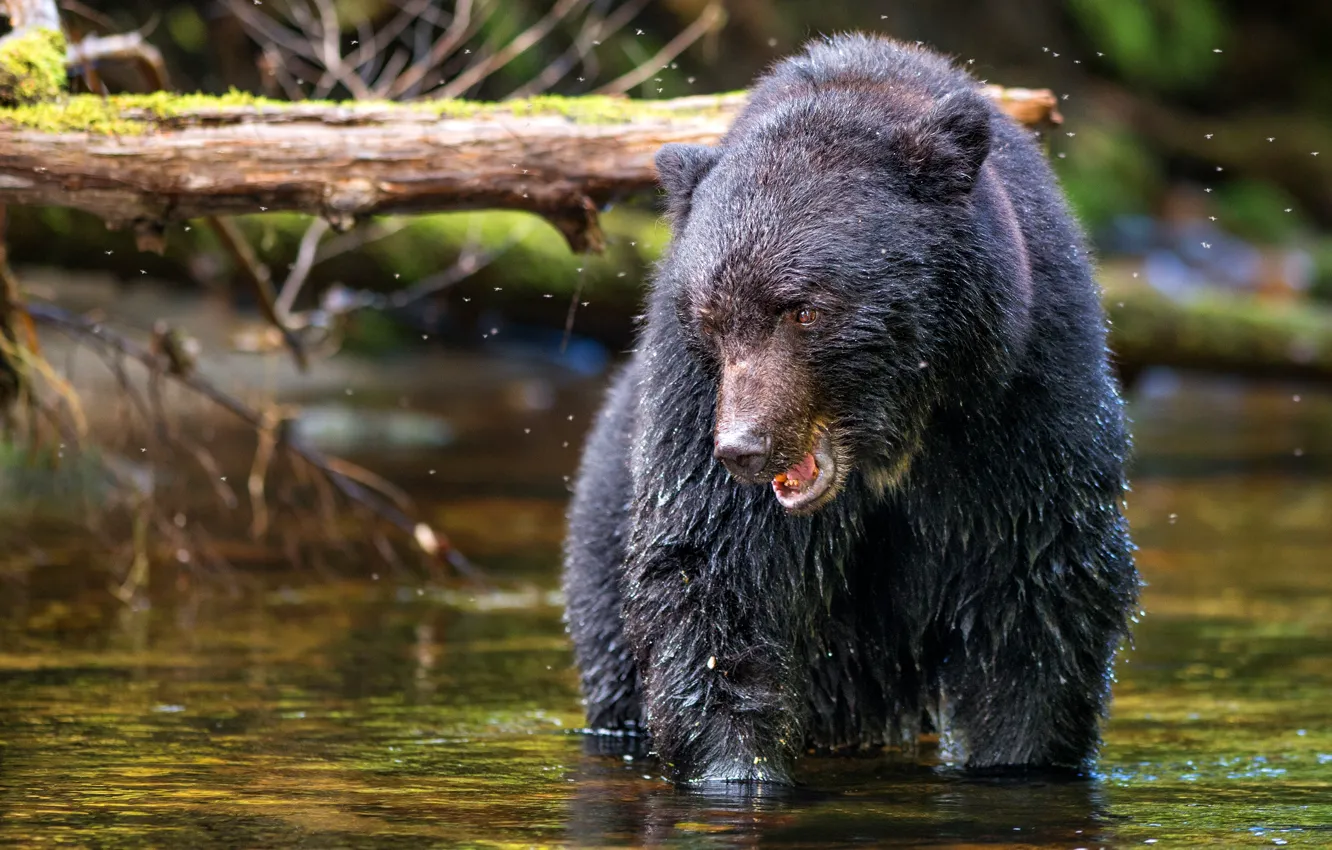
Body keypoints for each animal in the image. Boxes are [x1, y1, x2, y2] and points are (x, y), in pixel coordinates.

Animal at [563, 33, 1139, 785]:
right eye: (712, 316)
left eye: (802, 307)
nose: (744, 448)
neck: (896, 428)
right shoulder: (692, 394)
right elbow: (714, 571)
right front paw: (737, 770)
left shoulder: (1024, 394)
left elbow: (1039, 585)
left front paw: (1021, 758)